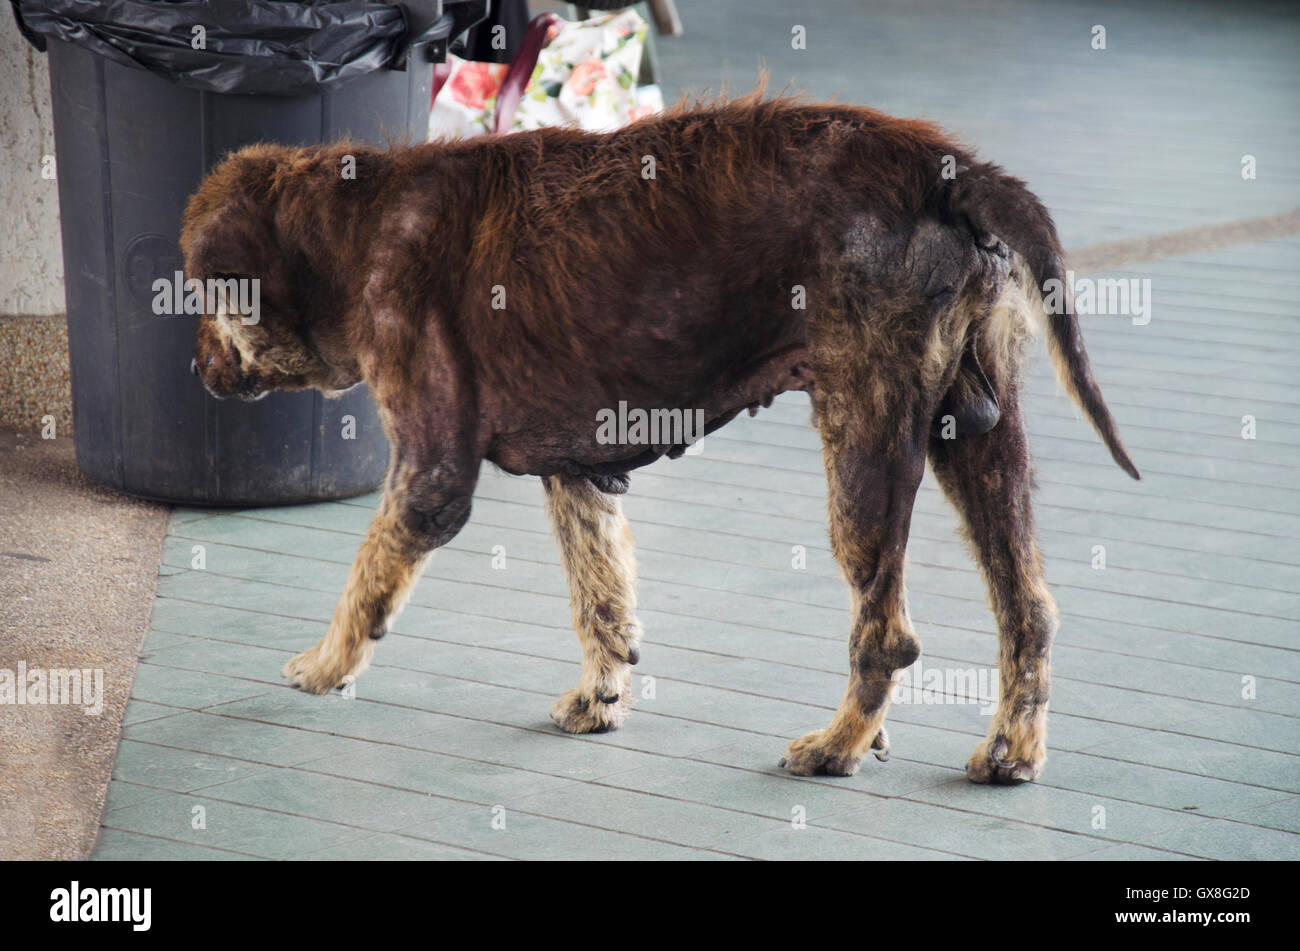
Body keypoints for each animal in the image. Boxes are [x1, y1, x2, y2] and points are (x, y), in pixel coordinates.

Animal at [183, 92, 1138, 784]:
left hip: (865, 439)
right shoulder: (578, 473)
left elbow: (364, 578)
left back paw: (837, 745)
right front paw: (601, 698)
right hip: (976, 435)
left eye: (200, 294)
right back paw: (1012, 751)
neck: (355, 226)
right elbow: (601, 597)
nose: (197, 370)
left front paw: (324, 666)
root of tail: (945, 169)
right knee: (1028, 608)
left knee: (888, 632)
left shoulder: (430, 475)